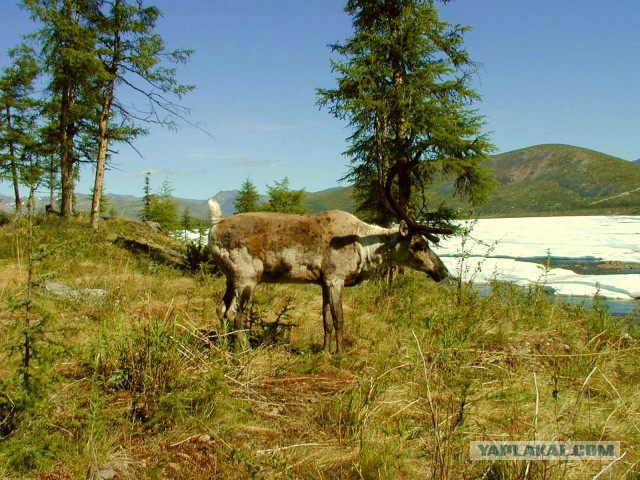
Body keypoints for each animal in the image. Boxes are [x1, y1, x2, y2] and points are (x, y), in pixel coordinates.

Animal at [207, 162, 452, 354]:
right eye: (419, 244)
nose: (443, 272)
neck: (364, 250)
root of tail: (215, 226)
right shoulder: (335, 278)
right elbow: (339, 319)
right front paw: (341, 354)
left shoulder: (323, 282)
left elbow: (326, 321)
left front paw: (325, 351)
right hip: (246, 276)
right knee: (233, 312)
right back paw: (244, 349)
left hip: (230, 277)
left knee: (220, 309)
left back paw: (224, 346)